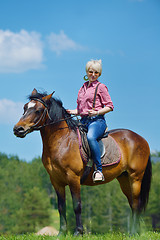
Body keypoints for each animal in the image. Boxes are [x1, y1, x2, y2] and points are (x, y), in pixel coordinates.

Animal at [13, 89, 151, 235]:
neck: (62, 141)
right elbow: (61, 207)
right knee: (132, 203)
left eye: (38, 110)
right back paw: (134, 232)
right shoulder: (56, 181)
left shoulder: (73, 178)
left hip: (135, 177)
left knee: (136, 203)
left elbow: (77, 205)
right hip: (124, 178)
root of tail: (141, 139)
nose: (18, 129)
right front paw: (62, 233)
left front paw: (78, 231)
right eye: (25, 108)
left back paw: (134, 232)